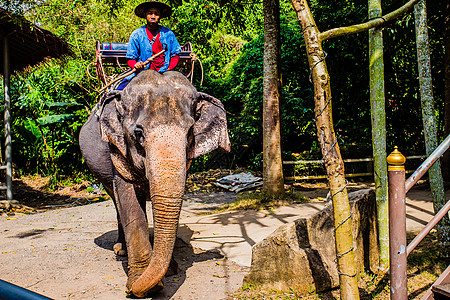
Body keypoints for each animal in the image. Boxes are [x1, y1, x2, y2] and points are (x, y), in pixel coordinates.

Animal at [78, 70, 230, 298]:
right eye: (138, 133)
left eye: (190, 133)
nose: (129, 291)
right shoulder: (117, 152)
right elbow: (130, 204)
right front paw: (141, 283)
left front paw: (170, 271)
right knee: (115, 201)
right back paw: (121, 249)